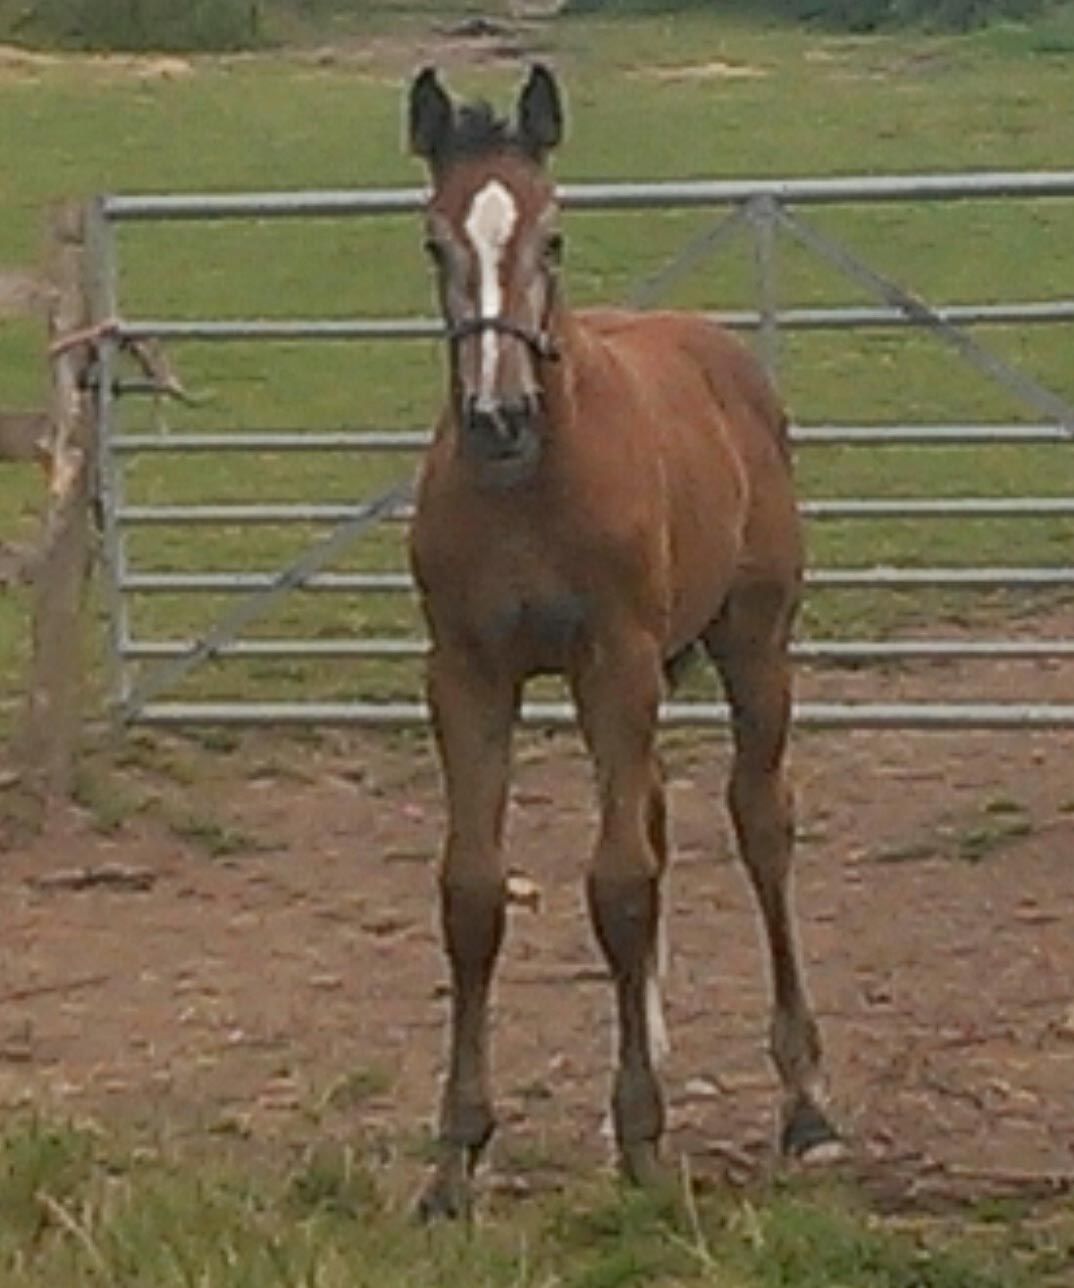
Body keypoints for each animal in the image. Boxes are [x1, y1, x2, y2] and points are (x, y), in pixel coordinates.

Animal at [406, 65, 834, 1221]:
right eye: (434, 241)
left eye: (553, 235)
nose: (497, 415)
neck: (530, 485)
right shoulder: (466, 674)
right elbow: (473, 893)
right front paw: (455, 1160)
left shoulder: (616, 664)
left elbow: (618, 887)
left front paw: (642, 1145)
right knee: (656, 821)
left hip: (752, 643)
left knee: (760, 822)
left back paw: (805, 1105)